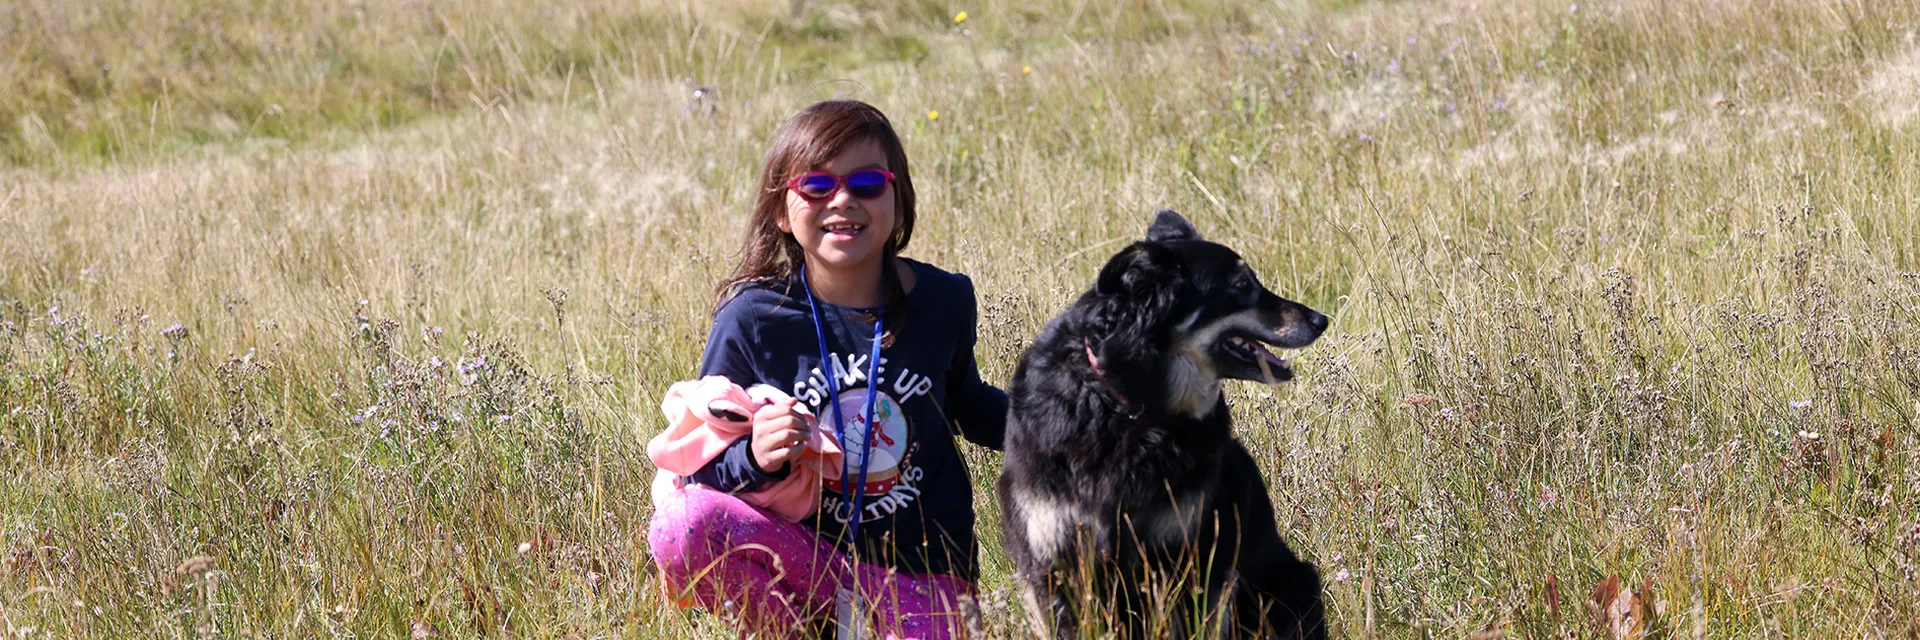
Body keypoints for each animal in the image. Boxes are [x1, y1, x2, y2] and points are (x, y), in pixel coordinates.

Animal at [997, 210, 1329, 639]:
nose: (1321, 320)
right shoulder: (1050, 564)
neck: (1127, 406)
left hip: (1295, 582)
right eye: (1241, 285)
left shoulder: (1192, 564)